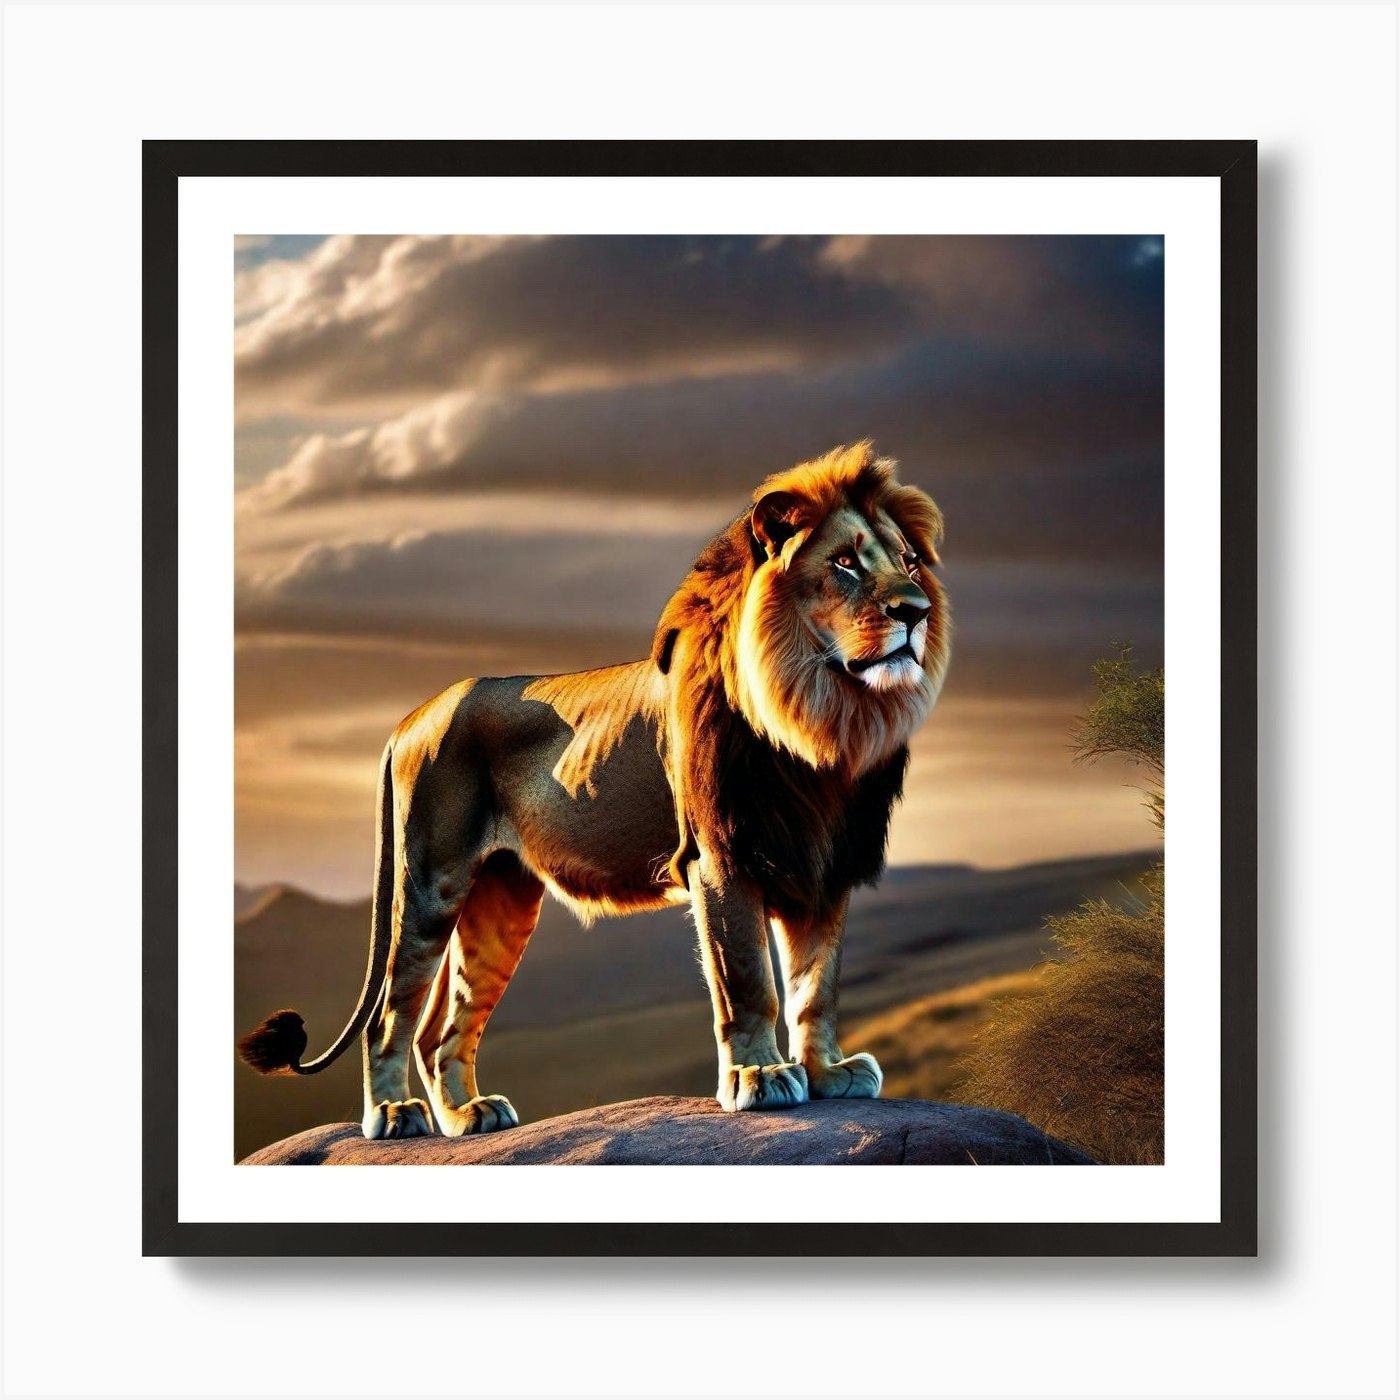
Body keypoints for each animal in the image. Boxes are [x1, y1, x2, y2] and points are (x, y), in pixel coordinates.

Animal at [238, 442, 951, 1139]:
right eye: (844, 562)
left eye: (911, 562)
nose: (914, 612)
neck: (821, 720)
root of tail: (411, 718)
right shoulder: (721, 856)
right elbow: (749, 978)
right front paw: (761, 1078)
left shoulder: (824, 865)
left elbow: (816, 986)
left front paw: (828, 1073)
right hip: (430, 885)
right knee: (391, 1017)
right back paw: (393, 1116)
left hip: (500, 901)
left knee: (440, 1030)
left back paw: (470, 1116)